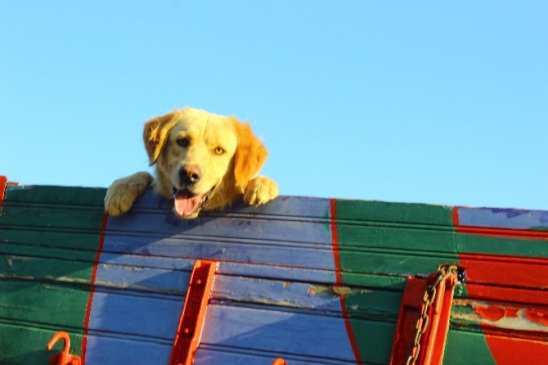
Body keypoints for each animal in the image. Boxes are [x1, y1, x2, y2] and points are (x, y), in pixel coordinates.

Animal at [104, 106, 278, 218]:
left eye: (219, 150)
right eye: (182, 141)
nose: (189, 175)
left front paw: (262, 184)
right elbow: (146, 175)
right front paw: (123, 188)